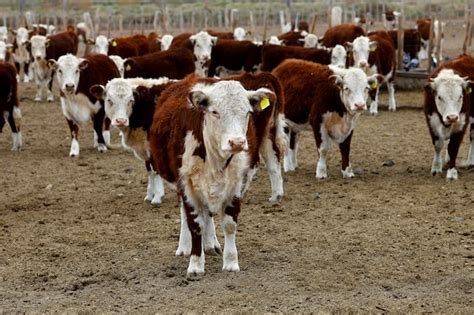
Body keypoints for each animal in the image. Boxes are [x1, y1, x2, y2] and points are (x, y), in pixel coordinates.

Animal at [150, 74, 272, 276]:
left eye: (247, 112)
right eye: (215, 112)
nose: (237, 142)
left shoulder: (236, 184)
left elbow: (229, 224)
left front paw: (230, 262)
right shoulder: (187, 184)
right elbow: (194, 224)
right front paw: (195, 264)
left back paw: (211, 244)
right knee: (186, 213)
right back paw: (184, 246)